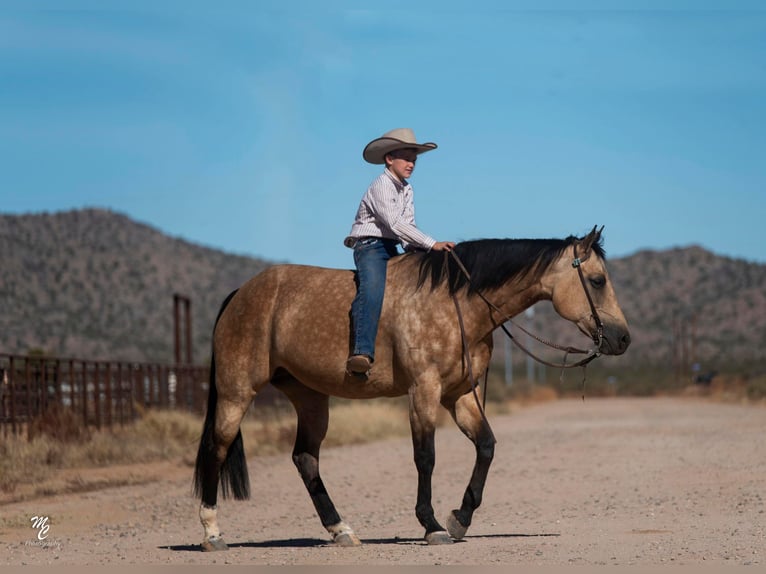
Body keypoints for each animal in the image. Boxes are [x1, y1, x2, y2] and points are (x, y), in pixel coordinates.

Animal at [192, 227, 632, 552]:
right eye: (597, 280)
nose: (623, 339)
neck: (456, 301)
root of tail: (239, 295)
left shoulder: (460, 395)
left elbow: (486, 447)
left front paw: (459, 519)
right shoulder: (424, 391)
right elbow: (426, 457)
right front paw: (433, 524)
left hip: (310, 398)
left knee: (305, 459)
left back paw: (341, 530)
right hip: (236, 393)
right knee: (217, 448)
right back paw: (212, 533)